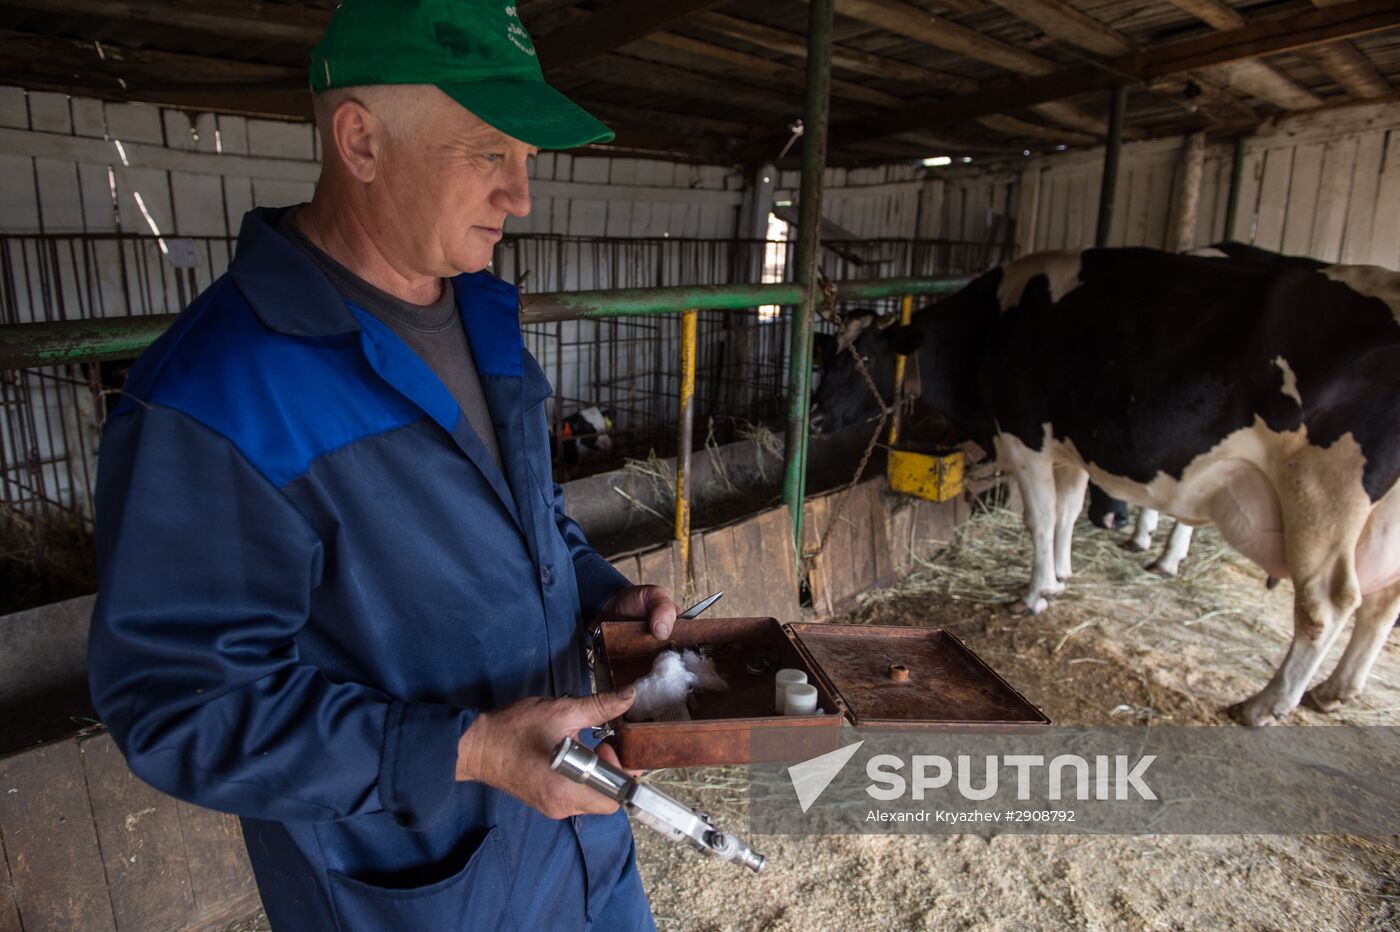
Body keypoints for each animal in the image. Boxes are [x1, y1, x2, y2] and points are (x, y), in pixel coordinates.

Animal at [817, 249, 1400, 727]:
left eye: (863, 356)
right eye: (829, 355)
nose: (817, 417)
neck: (984, 334)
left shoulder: (1026, 436)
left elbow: (1040, 518)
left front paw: (1034, 594)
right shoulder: (1067, 446)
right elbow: (1068, 512)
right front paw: (1060, 577)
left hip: (1322, 489)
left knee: (1329, 601)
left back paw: (1266, 703)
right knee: (1381, 601)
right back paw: (1336, 690)